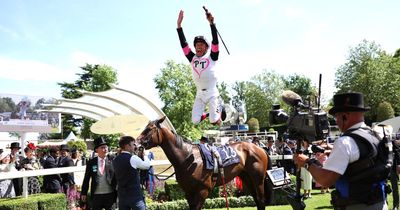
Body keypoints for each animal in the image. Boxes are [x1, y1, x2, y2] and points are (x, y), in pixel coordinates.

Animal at [136, 116, 274, 210]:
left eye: (149, 129)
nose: (137, 144)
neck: (188, 158)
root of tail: (260, 148)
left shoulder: (202, 191)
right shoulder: (188, 192)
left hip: (258, 179)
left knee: (261, 200)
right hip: (247, 178)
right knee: (257, 200)